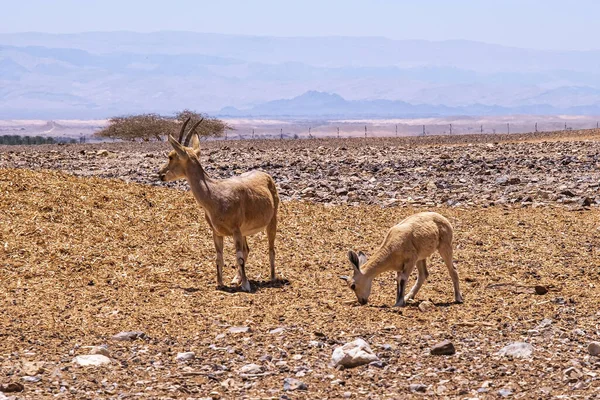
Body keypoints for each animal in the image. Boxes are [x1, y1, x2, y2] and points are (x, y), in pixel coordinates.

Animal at [159, 117, 282, 292]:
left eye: (171, 156)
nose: (160, 174)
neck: (214, 195)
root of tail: (266, 176)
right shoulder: (217, 232)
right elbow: (219, 257)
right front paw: (220, 282)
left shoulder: (236, 230)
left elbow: (239, 257)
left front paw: (246, 285)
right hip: (245, 231)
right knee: (247, 249)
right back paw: (236, 279)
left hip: (272, 220)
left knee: (270, 249)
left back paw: (272, 277)